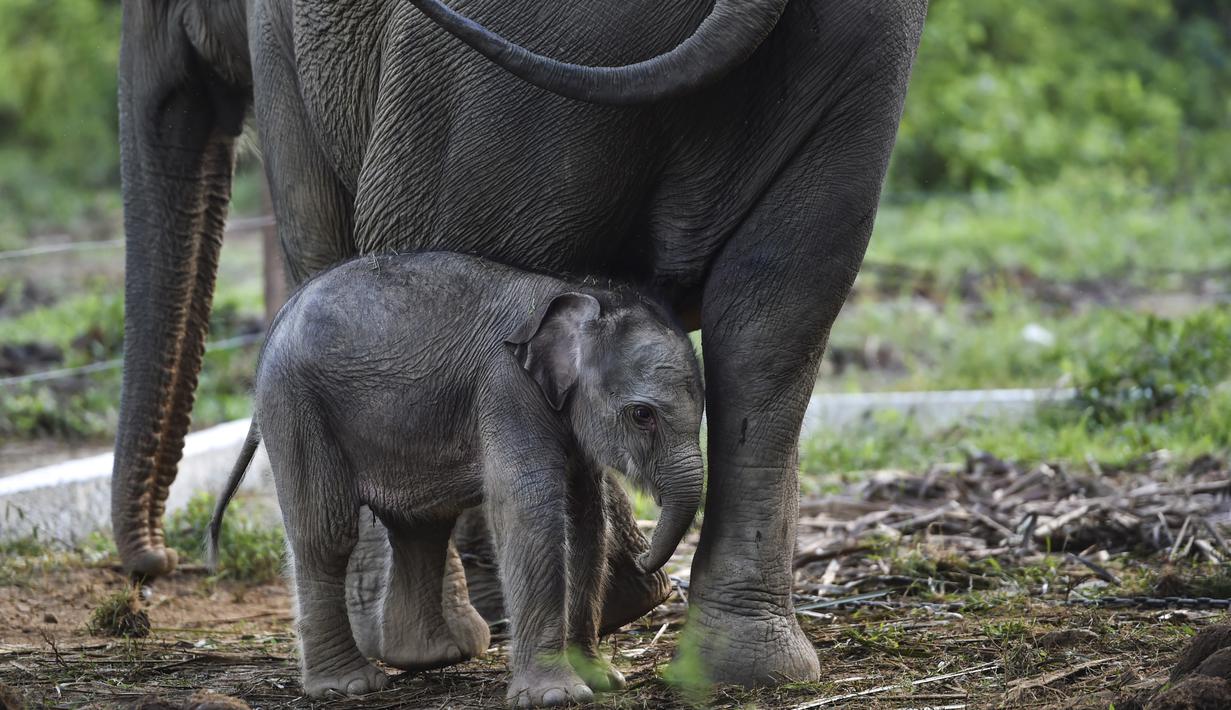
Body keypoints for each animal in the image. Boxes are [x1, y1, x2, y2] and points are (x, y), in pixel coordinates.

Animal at [211, 252, 704, 703]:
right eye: (642, 416)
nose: (648, 558)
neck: (580, 293)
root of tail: (276, 324)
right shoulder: (507, 389)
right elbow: (527, 509)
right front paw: (556, 696)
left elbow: (586, 520)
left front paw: (601, 681)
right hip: (296, 406)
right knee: (326, 533)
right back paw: (348, 685)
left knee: (422, 525)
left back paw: (432, 655)